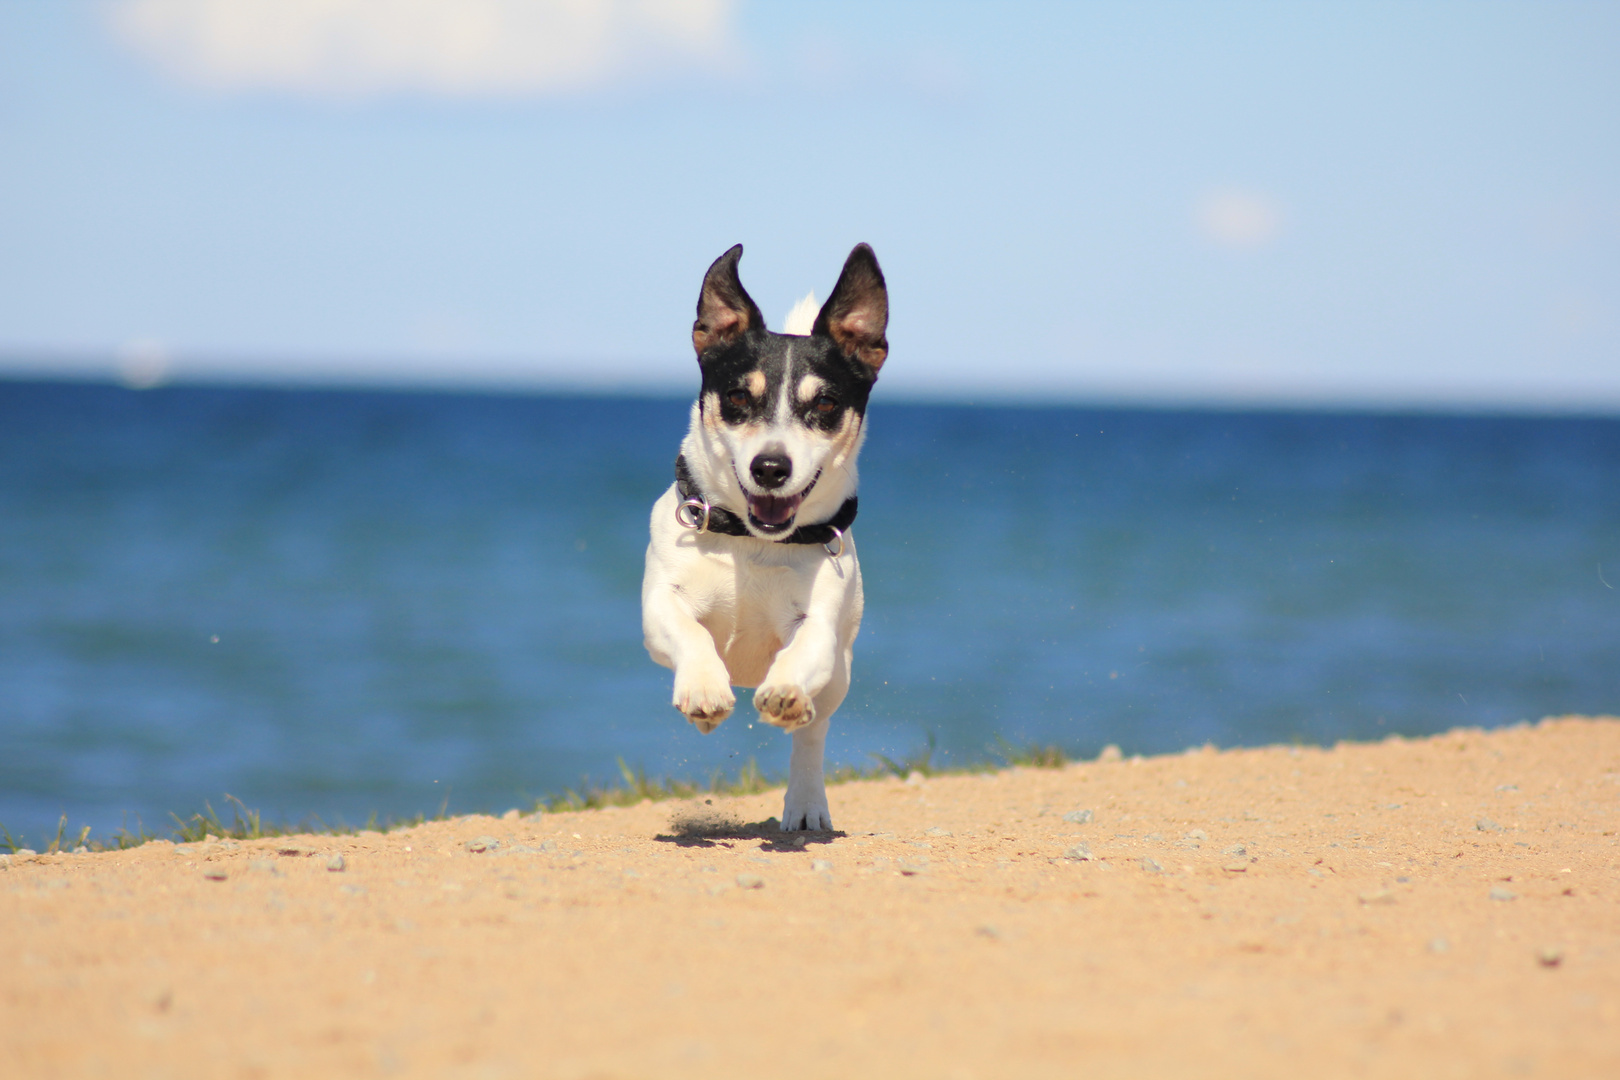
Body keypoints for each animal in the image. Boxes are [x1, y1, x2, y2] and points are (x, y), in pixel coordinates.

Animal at [641, 244, 894, 835]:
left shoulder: (820, 624)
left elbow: (803, 651)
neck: (752, 541)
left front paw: (786, 692)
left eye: (824, 405)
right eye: (737, 396)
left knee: (812, 734)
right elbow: (690, 633)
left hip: (840, 675)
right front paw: (703, 686)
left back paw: (804, 796)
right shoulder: (660, 604)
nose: (771, 467)